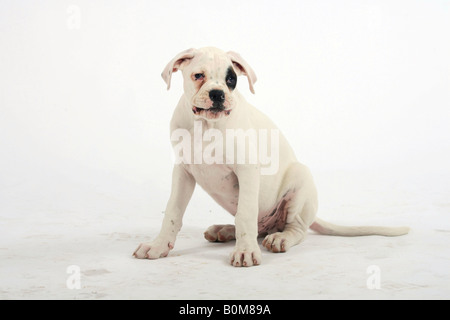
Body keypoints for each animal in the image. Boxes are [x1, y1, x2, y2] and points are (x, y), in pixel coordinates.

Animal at [133, 47, 408, 268]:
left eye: (231, 80)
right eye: (198, 75)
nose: (218, 94)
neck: (206, 125)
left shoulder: (246, 169)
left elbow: (245, 213)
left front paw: (245, 252)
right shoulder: (183, 172)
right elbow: (172, 212)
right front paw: (158, 246)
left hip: (300, 181)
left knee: (294, 229)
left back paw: (279, 237)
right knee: (256, 227)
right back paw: (225, 230)